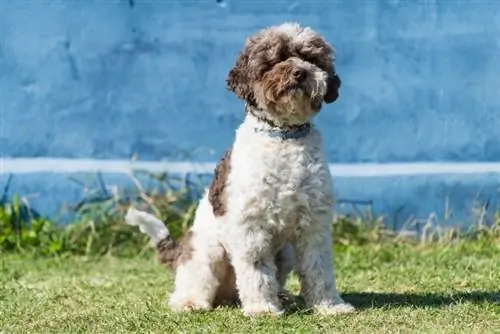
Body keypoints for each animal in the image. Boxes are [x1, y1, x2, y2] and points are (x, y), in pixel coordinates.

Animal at [125, 22, 356, 318]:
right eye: (274, 59)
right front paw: (262, 308)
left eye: (311, 58)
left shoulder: (313, 225)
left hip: (285, 252)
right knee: (194, 283)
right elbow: (257, 270)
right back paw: (190, 301)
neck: (283, 136)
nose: (300, 72)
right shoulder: (251, 225)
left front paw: (330, 306)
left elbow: (319, 268)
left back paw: (283, 297)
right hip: (207, 250)